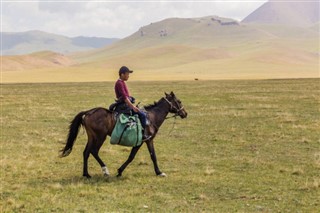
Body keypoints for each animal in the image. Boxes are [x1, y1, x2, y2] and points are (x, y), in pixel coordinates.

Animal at [60, 91, 188, 178]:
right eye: (179, 101)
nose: (185, 113)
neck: (152, 117)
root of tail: (88, 112)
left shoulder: (144, 141)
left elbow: (144, 156)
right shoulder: (145, 140)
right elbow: (141, 156)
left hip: (92, 137)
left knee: (86, 152)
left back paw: (86, 174)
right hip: (100, 137)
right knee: (94, 151)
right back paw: (105, 170)